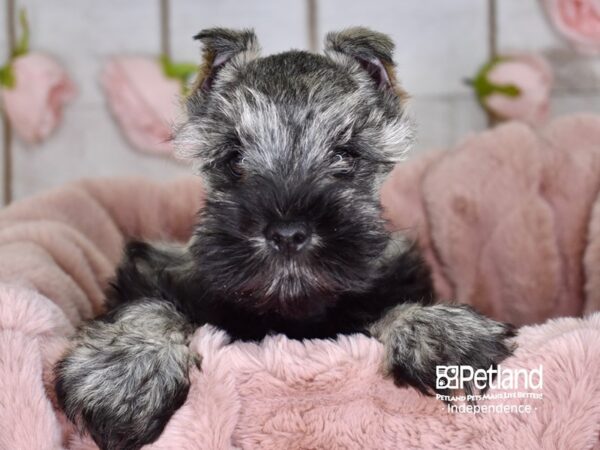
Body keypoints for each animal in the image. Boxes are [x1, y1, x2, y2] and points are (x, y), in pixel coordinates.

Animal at [55, 28, 516, 450]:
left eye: (346, 155)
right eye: (234, 158)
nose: (288, 233)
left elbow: (392, 306)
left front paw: (442, 333)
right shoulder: (149, 271)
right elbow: (148, 306)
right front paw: (125, 371)